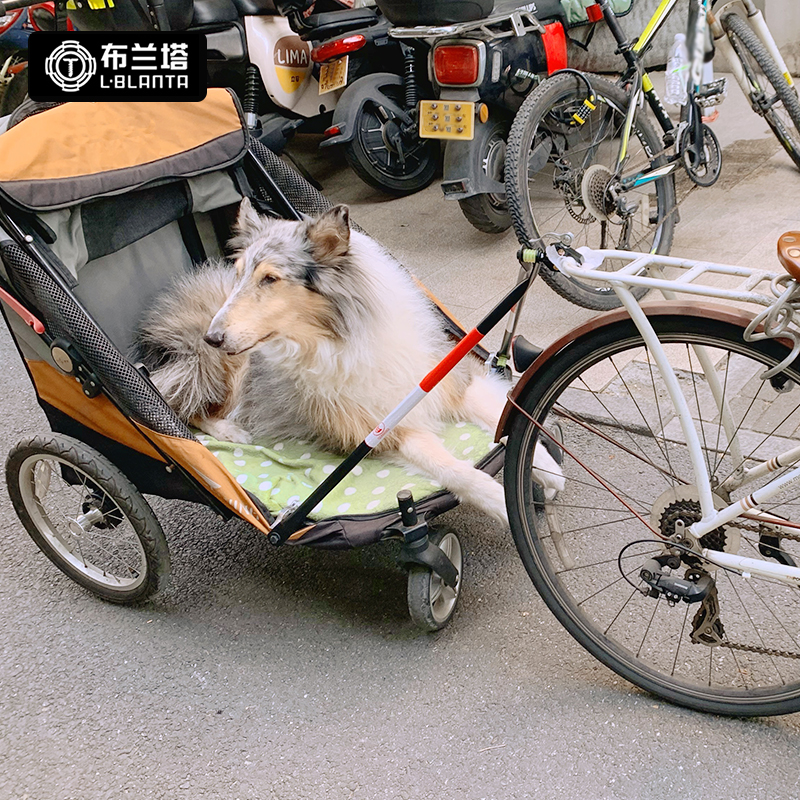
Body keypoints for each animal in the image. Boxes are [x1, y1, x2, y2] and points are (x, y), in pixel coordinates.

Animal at [138, 200, 564, 520]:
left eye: (270, 279)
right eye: (239, 273)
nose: (213, 337)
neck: (343, 335)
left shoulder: (448, 381)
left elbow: (500, 413)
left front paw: (547, 469)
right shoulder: (382, 431)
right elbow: (453, 469)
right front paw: (503, 505)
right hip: (215, 368)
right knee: (185, 406)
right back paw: (232, 431)